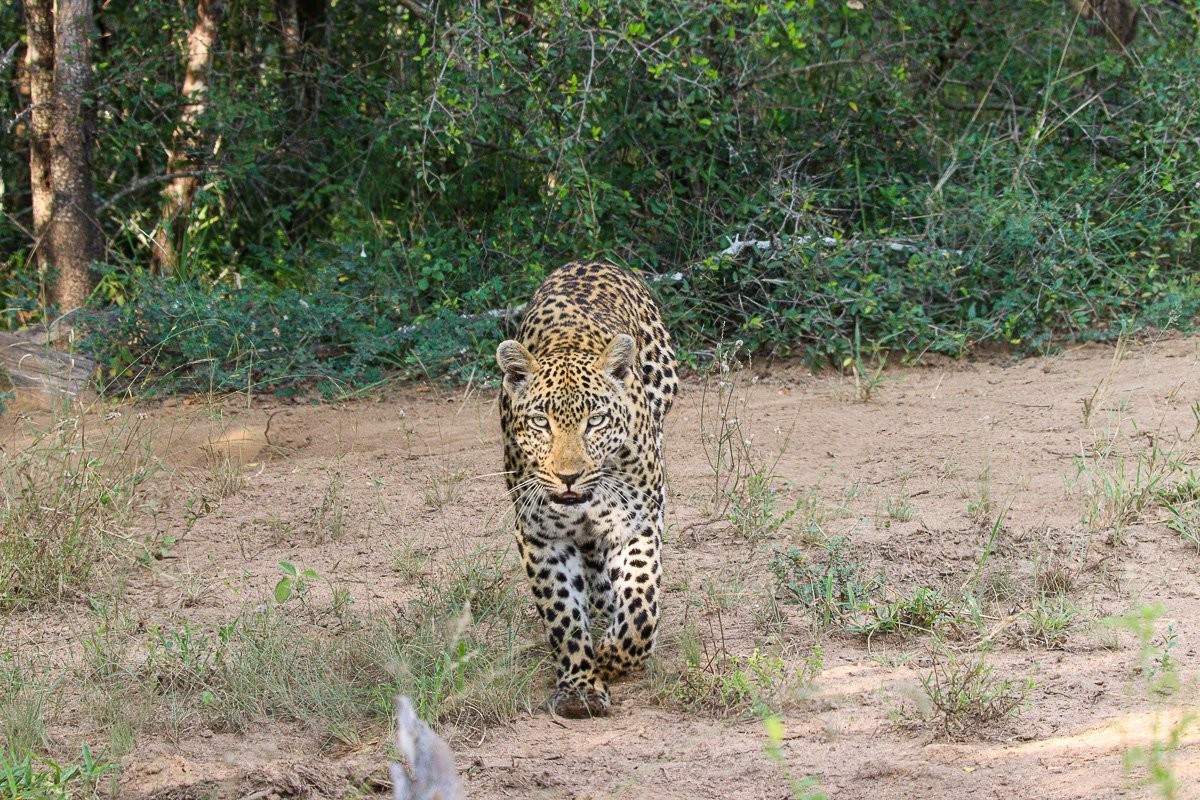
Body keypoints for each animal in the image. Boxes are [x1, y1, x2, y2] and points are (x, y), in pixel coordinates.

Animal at [496, 260, 678, 718]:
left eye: (594, 421)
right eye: (540, 422)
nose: (568, 476)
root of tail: (590, 260)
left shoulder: (635, 524)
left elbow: (640, 602)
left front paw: (614, 656)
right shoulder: (541, 536)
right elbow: (562, 614)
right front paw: (580, 687)